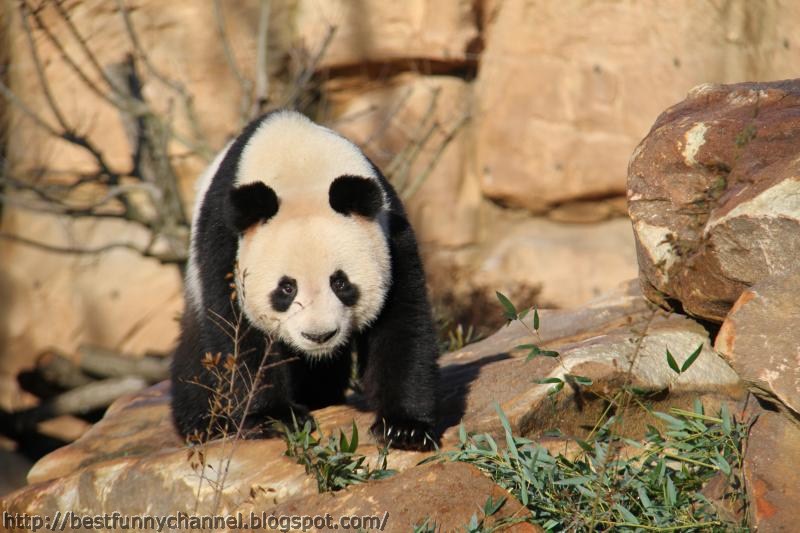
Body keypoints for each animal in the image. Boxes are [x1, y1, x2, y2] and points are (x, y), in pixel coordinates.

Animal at [170, 110, 440, 451]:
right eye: (286, 288)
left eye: (340, 283)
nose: (319, 336)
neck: (298, 164)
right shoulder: (225, 245)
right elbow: (238, 332)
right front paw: (274, 417)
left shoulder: (391, 235)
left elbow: (401, 321)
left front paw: (404, 428)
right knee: (197, 358)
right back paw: (204, 423)